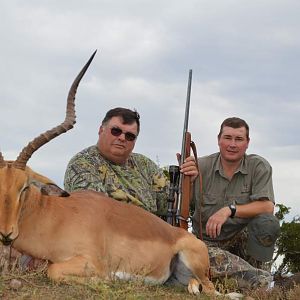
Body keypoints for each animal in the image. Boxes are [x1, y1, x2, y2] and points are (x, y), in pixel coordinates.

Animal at [0, 52, 216, 296]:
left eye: (24, 187)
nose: (6, 234)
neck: (56, 216)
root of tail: (182, 235)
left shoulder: (90, 261)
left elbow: (53, 270)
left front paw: (107, 281)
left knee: (212, 289)